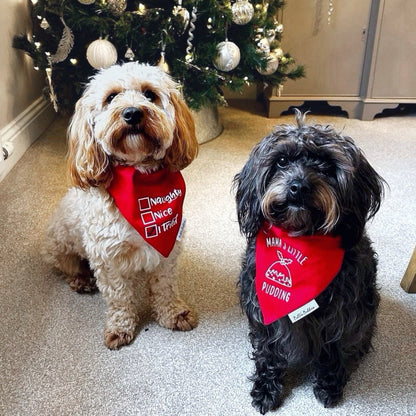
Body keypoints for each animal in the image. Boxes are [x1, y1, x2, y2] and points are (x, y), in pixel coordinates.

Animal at [43, 61, 199, 348]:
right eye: (111, 97)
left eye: (149, 94)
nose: (133, 113)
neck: (139, 178)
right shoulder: (107, 257)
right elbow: (119, 297)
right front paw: (120, 326)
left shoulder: (168, 249)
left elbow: (165, 286)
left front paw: (173, 313)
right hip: (60, 246)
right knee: (68, 268)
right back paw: (80, 280)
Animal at [236, 110, 386, 412]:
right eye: (282, 161)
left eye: (326, 165)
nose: (298, 187)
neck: (302, 239)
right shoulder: (263, 313)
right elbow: (268, 353)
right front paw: (266, 388)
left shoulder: (344, 316)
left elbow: (335, 353)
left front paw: (329, 384)